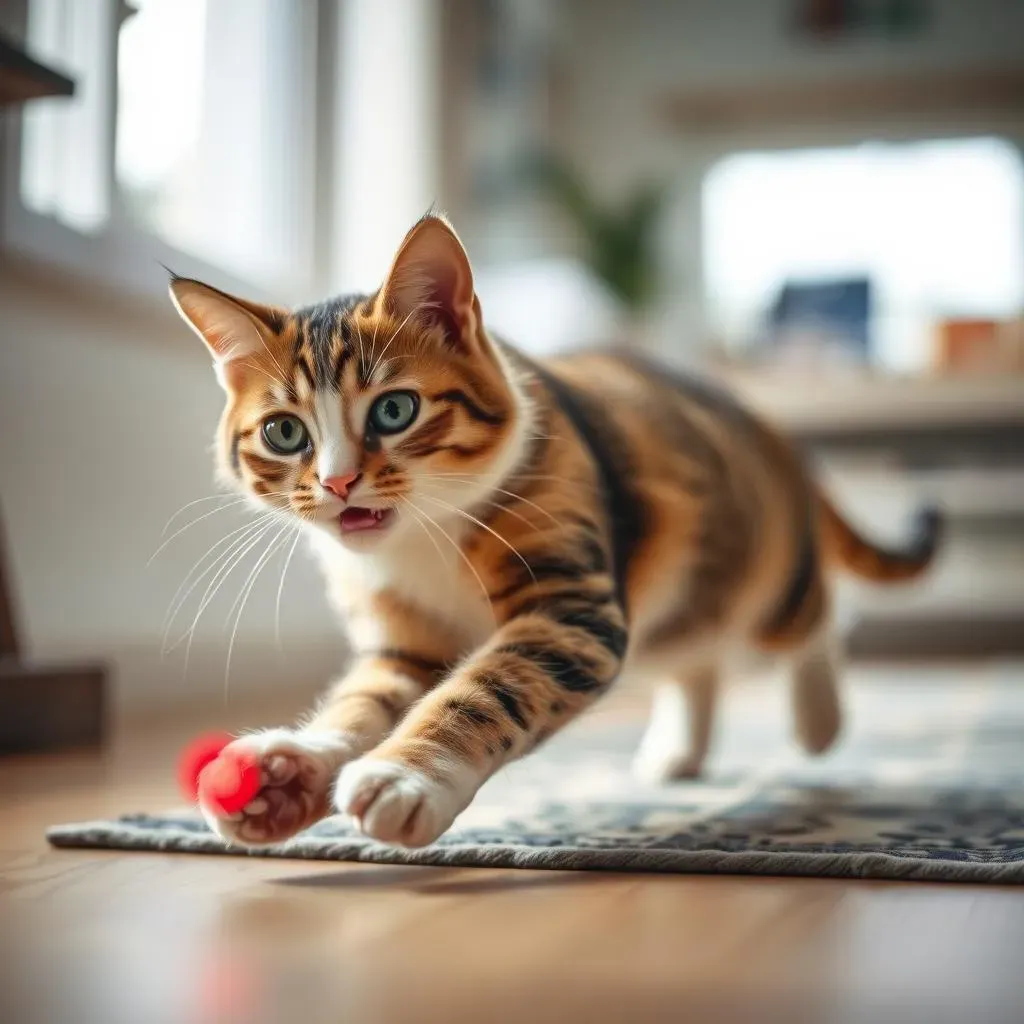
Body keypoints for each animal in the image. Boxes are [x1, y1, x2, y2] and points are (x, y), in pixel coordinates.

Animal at [169, 209, 942, 847]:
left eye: (394, 410)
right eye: (284, 432)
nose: (335, 483)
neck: (420, 540)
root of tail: (770, 429)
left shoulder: (569, 606)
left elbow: (484, 689)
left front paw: (407, 775)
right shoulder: (405, 642)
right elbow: (365, 699)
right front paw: (289, 773)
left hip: (760, 573)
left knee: (813, 615)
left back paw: (819, 718)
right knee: (695, 656)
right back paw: (681, 750)